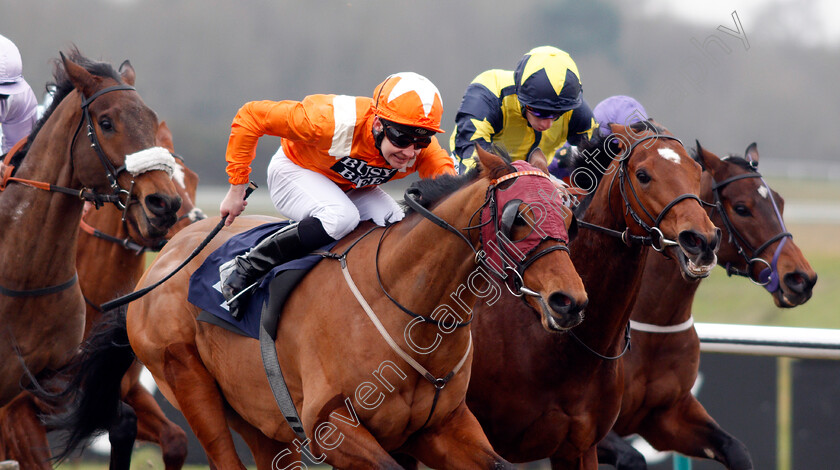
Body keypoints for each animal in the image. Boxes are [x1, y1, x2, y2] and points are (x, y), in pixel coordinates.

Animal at [55, 145, 588, 468]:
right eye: (518, 218)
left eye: (570, 215)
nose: (569, 302)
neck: (415, 311)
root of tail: (162, 262)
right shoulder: (331, 425)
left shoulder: (442, 426)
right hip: (188, 382)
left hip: (257, 414)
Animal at [600, 142, 816, 470]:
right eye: (741, 208)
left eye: (779, 202)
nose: (801, 279)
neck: (652, 324)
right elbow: (631, 456)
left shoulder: (667, 414)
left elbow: (736, 449)